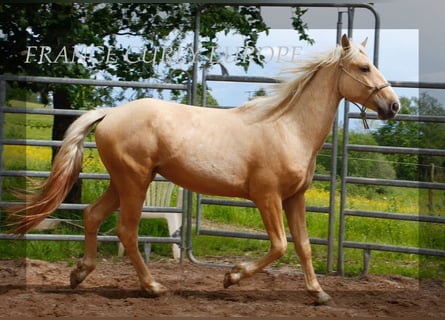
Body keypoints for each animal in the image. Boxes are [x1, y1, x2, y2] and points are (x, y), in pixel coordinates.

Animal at [6, 35, 398, 304]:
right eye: (364, 67)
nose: (392, 105)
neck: (288, 127)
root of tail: (110, 113)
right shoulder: (267, 197)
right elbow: (279, 245)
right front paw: (231, 277)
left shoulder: (294, 197)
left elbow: (302, 246)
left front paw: (318, 293)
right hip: (134, 182)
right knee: (126, 231)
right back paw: (153, 286)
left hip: (122, 181)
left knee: (92, 215)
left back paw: (79, 275)